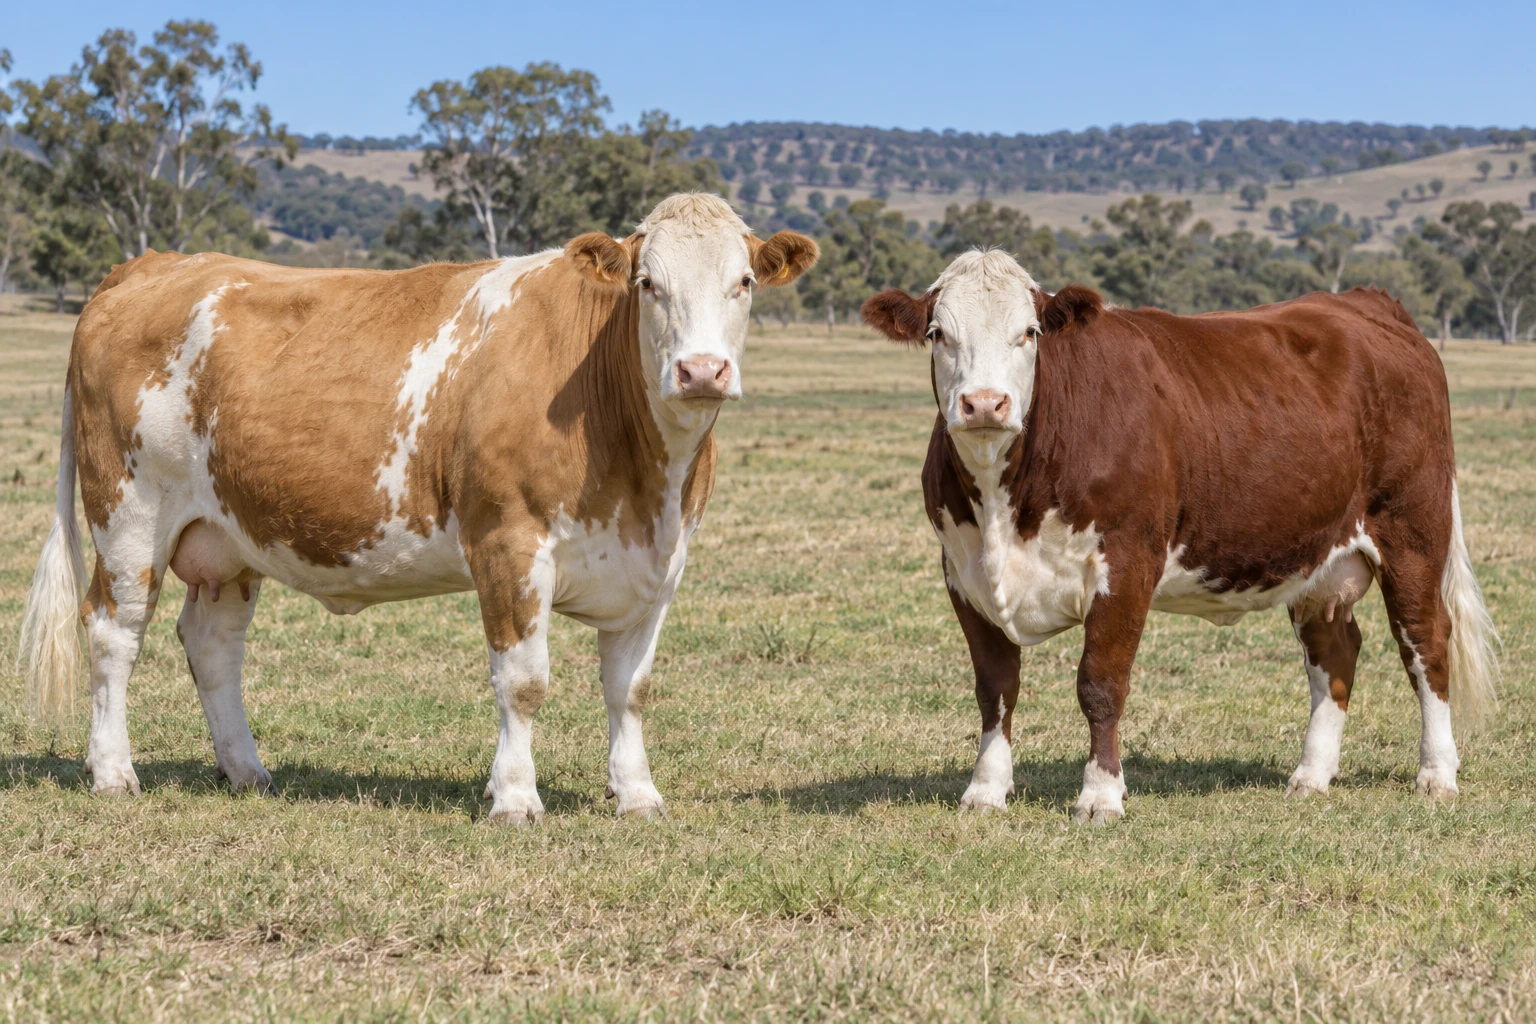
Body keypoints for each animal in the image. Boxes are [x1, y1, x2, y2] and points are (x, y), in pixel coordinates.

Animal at [20, 193, 817, 824]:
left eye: (744, 282)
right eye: (648, 283)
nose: (702, 370)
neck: (642, 477)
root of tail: (150, 265)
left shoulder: (658, 564)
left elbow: (631, 690)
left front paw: (638, 795)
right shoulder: (507, 542)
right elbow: (524, 681)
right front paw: (515, 799)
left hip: (227, 537)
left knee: (213, 643)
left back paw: (246, 770)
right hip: (128, 516)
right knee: (114, 632)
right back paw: (114, 772)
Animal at [860, 250, 1498, 823]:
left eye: (1030, 332)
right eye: (939, 333)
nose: (985, 403)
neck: (1006, 508)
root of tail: (1367, 302)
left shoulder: (1127, 564)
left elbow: (1100, 685)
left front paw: (1101, 796)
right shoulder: (963, 573)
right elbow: (995, 687)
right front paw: (986, 790)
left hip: (1413, 532)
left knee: (1425, 642)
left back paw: (1437, 775)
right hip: (1320, 558)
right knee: (1334, 650)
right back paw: (1311, 776)